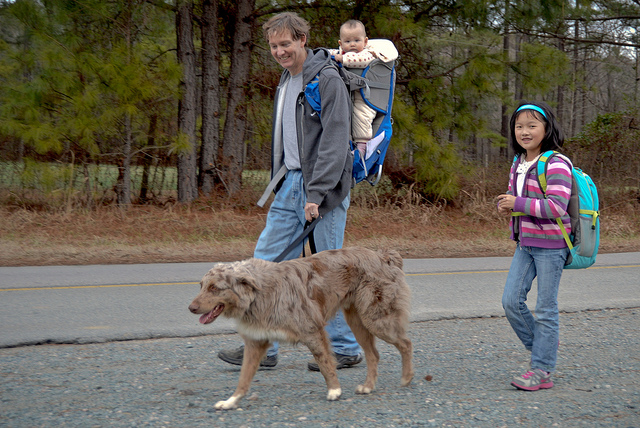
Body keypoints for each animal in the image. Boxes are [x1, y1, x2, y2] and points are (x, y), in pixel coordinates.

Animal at [186, 246, 416, 410]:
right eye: (201, 286)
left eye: (215, 288)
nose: (191, 308)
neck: (258, 294)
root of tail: (383, 256)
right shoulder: (255, 343)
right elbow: (243, 378)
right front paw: (231, 401)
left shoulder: (312, 330)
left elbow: (325, 363)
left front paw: (335, 390)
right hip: (357, 321)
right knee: (373, 354)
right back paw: (368, 386)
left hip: (376, 320)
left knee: (406, 343)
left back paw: (406, 377)